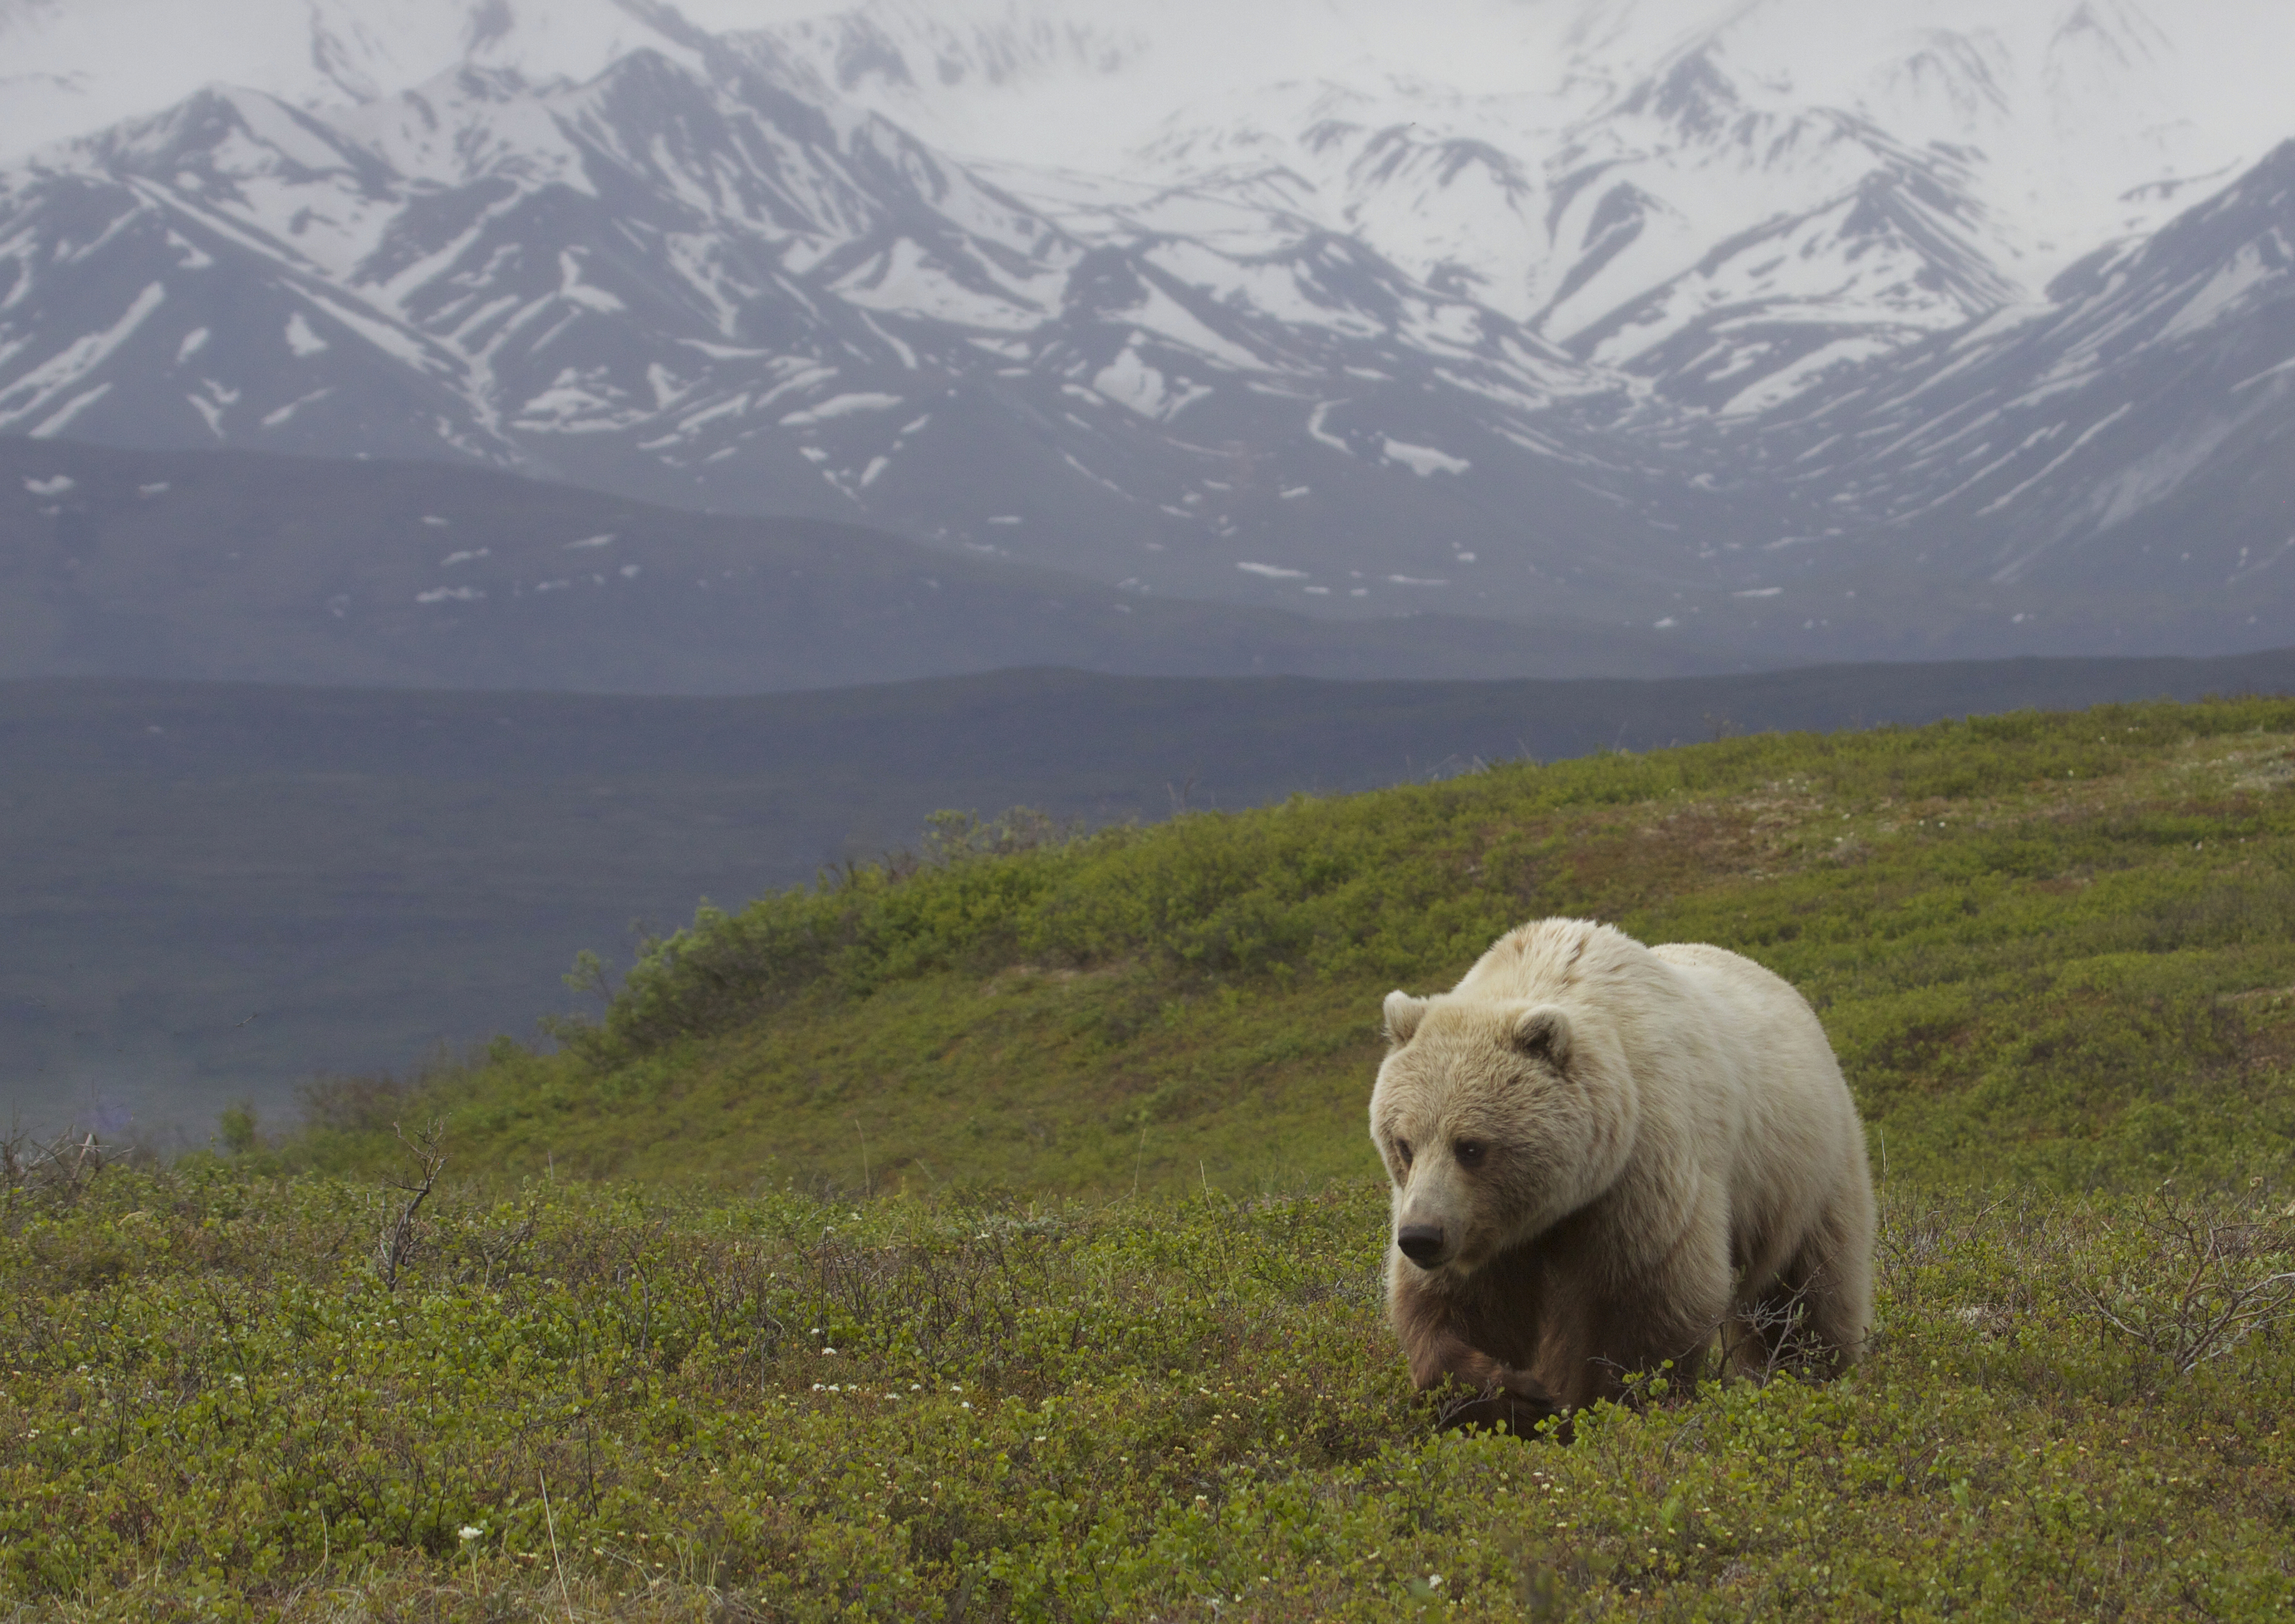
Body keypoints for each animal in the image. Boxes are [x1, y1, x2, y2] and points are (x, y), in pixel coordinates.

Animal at [1368, 922, 1872, 1431]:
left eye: (1470, 1147)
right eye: (1404, 1143)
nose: (1420, 1236)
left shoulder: (1643, 1169)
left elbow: (1651, 1300)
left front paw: (1605, 1408)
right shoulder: (1483, 1228)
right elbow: (1459, 1308)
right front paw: (1511, 1396)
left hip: (1804, 1173)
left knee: (1805, 1296)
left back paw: (1814, 1374)